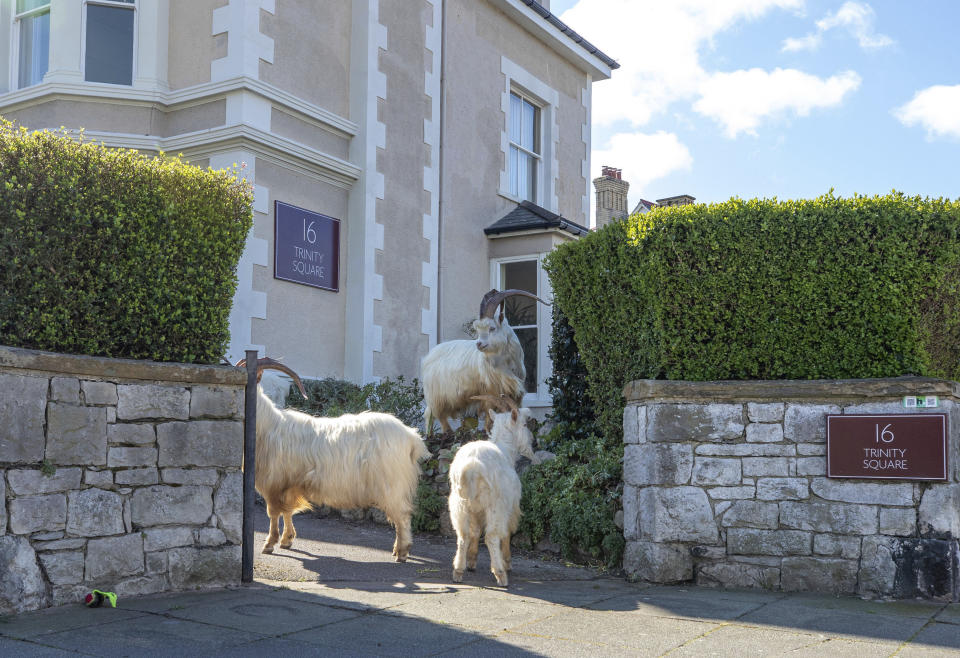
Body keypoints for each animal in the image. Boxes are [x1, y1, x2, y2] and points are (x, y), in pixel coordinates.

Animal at [242, 358, 430, 560]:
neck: (267, 426)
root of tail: (412, 437)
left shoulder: (274, 483)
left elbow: (274, 513)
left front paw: (269, 544)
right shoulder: (289, 484)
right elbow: (288, 511)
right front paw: (287, 540)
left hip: (392, 484)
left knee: (402, 515)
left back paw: (401, 552)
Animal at [422, 288, 548, 434]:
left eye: (492, 328)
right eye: (478, 329)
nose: (479, 344)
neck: (505, 362)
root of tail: (429, 355)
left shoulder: (514, 393)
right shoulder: (490, 392)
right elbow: (489, 414)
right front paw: (489, 431)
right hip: (436, 397)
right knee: (435, 416)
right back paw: (441, 433)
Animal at [448, 394, 536, 584]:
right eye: (524, 425)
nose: (532, 441)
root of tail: (472, 466)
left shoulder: (476, 509)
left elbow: (475, 532)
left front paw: (472, 561)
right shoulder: (510, 506)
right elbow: (507, 533)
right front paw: (508, 562)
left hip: (459, 504)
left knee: (463, 535)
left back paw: (458, 571)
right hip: (495, 505)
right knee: (491, 536)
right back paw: (500, 574)